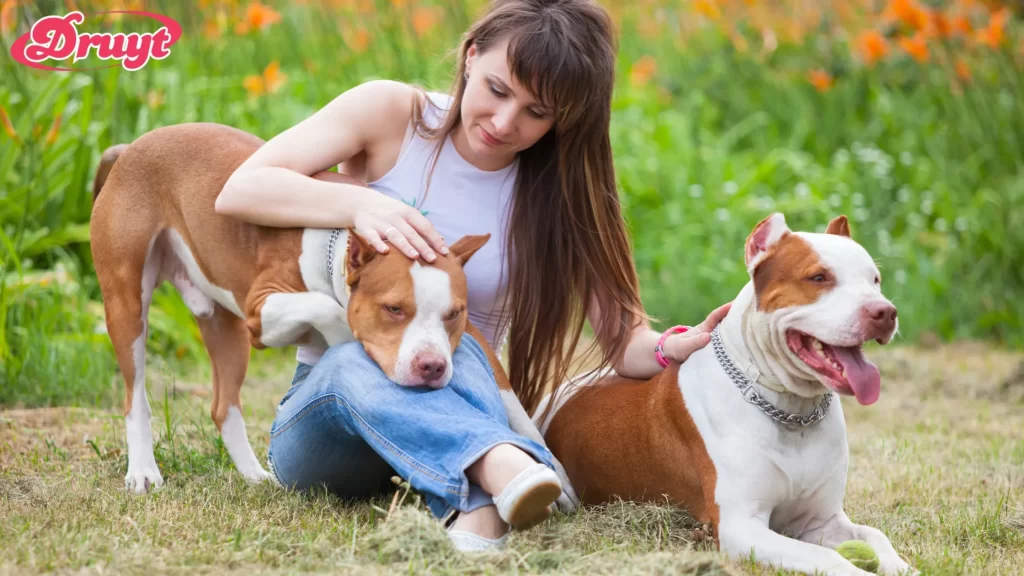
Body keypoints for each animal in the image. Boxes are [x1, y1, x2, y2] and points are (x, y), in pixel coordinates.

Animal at [90, 121, 569, 498]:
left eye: (453, 314)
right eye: (393, 309)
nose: (433, 366)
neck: (339, 245)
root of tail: (130, 147)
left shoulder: (473, 335)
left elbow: (510, 398)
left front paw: (557, 472)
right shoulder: (261, 312)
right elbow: (326, 306)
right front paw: (342, 341)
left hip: (222, 326)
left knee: (224, 404)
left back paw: (255, 475)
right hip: (127, 304)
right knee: (135, 395)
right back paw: (143, 472)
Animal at [532, 212, 917, 573]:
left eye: (875, 280)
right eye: (819, 277)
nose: (885, 311)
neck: (791, 409)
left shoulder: (821, 520)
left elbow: (874, 536)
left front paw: (903, 567)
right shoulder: (740, 527)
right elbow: (827, 557)